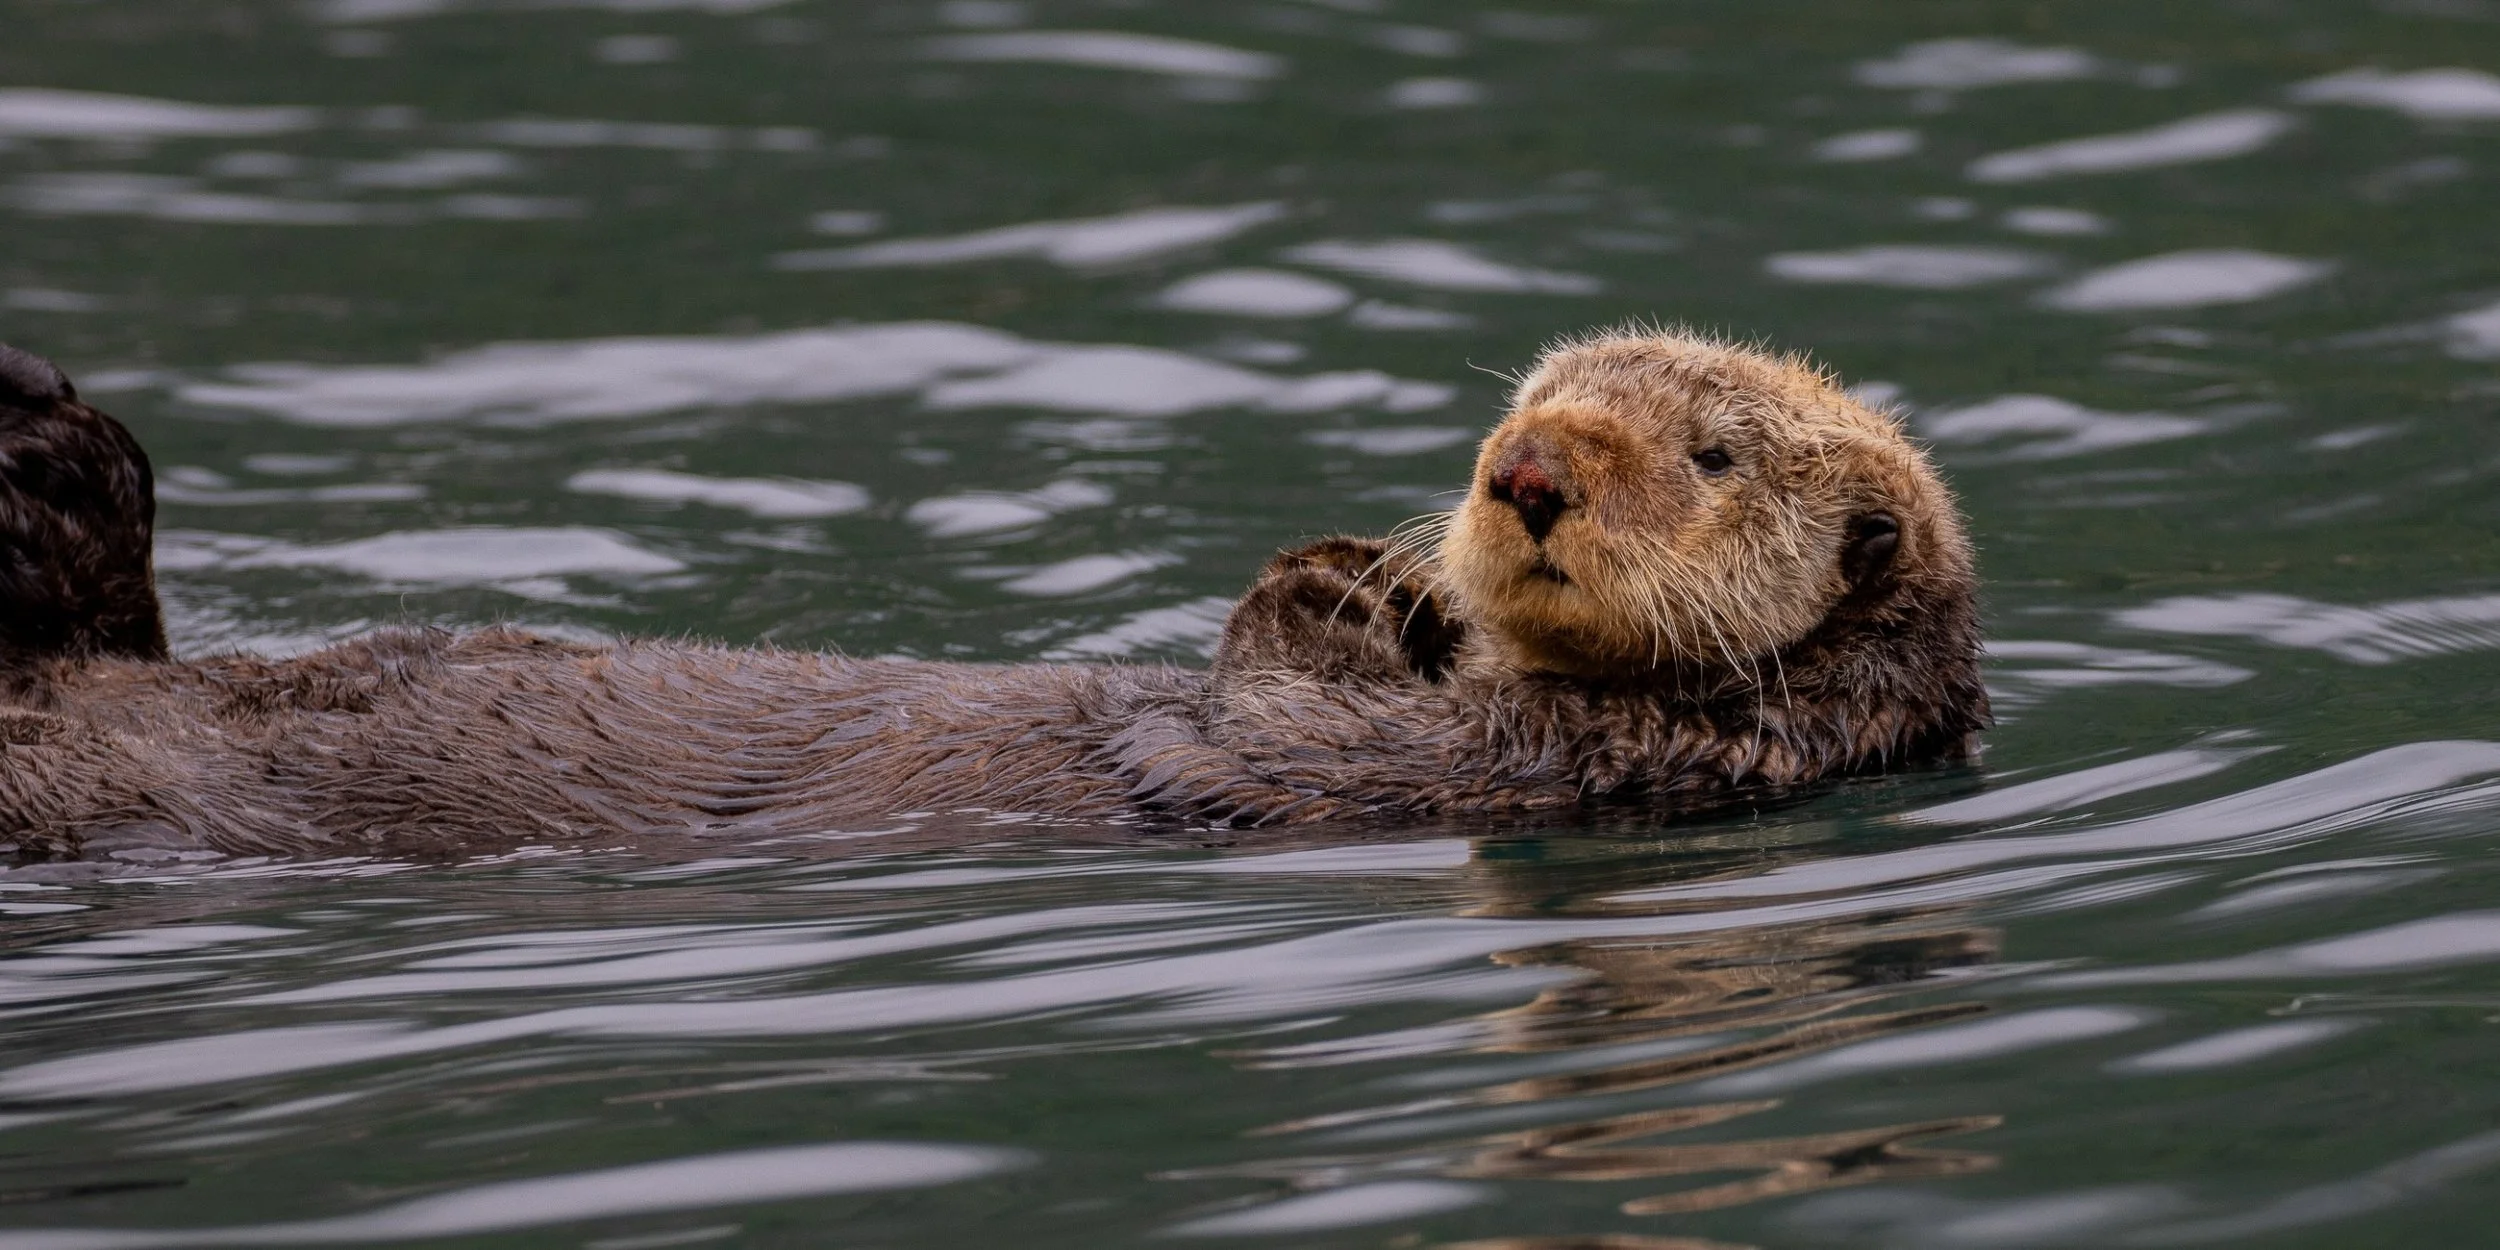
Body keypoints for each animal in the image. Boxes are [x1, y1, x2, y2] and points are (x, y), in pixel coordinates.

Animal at [0, 329, 1987, 860]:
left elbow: (1249, 712)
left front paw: (1333, 586)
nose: (1527, 472)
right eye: (1526, 396)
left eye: (1711, 452)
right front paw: (1377, 573)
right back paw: (49, 435)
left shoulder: (1503, 769)